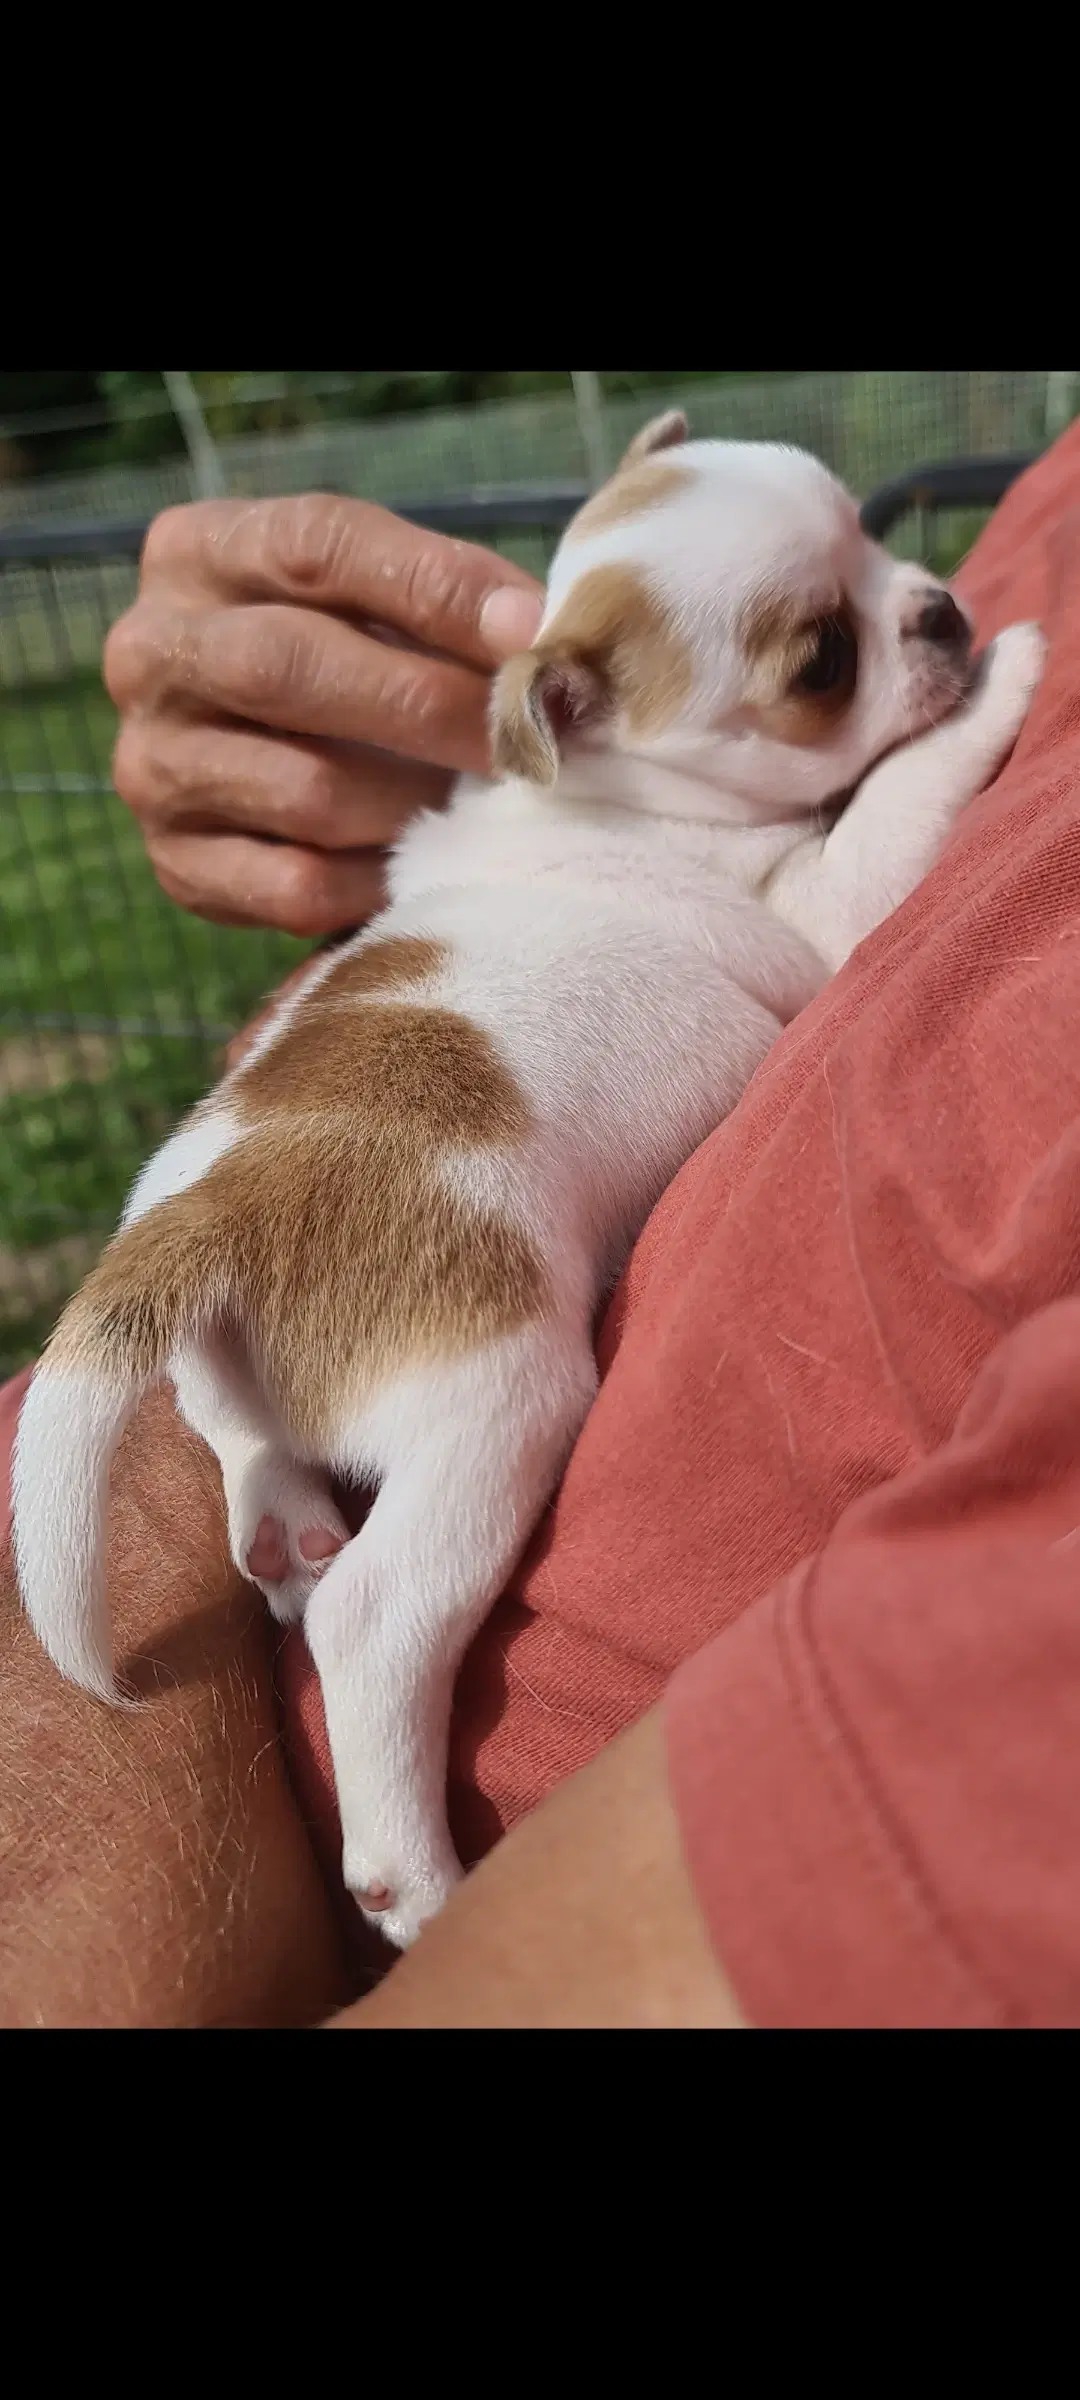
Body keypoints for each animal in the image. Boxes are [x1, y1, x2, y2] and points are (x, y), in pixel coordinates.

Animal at [12, 417, 1046, 1948]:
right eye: (822, 660)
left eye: (872, 539)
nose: (941, 610)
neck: (607, 790)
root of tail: (212, 1213)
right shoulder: (823, 909)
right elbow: (897, 799)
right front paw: (1005, 680)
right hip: (496, 1399)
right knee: (374, 1620)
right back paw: (411, 1874)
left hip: (221, 1348)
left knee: (238, 1434)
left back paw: (280, 1525)